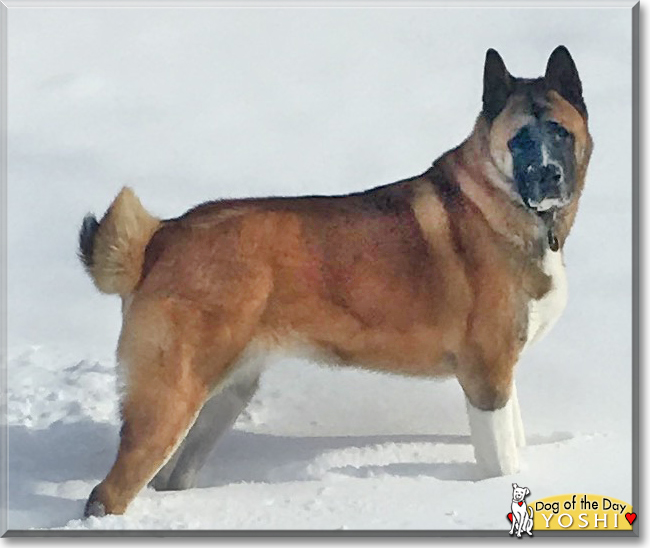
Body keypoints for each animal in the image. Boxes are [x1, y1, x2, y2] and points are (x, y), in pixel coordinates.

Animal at [78, 47, 588, 520]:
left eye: (559, 132)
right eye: (519, 139)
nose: (547, 175)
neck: (504, 204)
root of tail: (159, 237)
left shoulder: (502, 369)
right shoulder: (485, 374)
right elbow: (500, 460)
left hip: (222, 396)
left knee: (170, 477)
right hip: (171, 396)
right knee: (108, 493)